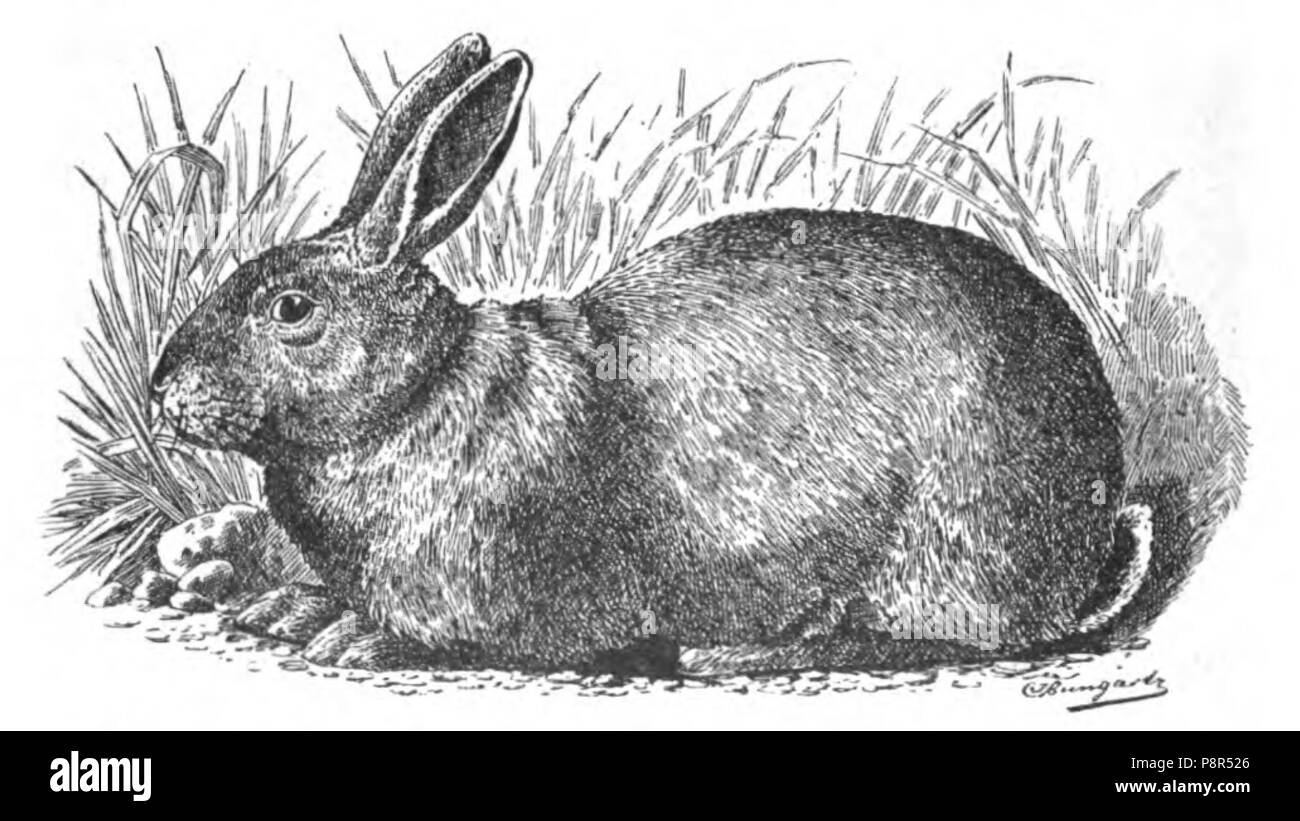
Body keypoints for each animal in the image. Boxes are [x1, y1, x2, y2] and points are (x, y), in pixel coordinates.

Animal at [151, 32, 1153, 676]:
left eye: (291, 308)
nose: (163, 394)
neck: (419, 391)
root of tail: (1093, 519)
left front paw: (353, 637)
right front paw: (286, 607)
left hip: (946, 540)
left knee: (933, 638)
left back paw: (735, 652)